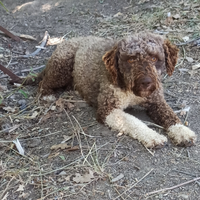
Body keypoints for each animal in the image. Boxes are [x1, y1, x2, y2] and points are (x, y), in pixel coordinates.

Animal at [17, 32, 197, 148]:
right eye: (130, 60)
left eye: (154, 58)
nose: (146, 82)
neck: (132, 91)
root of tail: (66, 42)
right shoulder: (107, 109)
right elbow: (132, 121)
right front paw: (152, 136)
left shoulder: (156, 101)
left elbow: (170, 116)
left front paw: (182, 132)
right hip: (62, 66)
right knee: (43, 82)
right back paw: (47, 95)